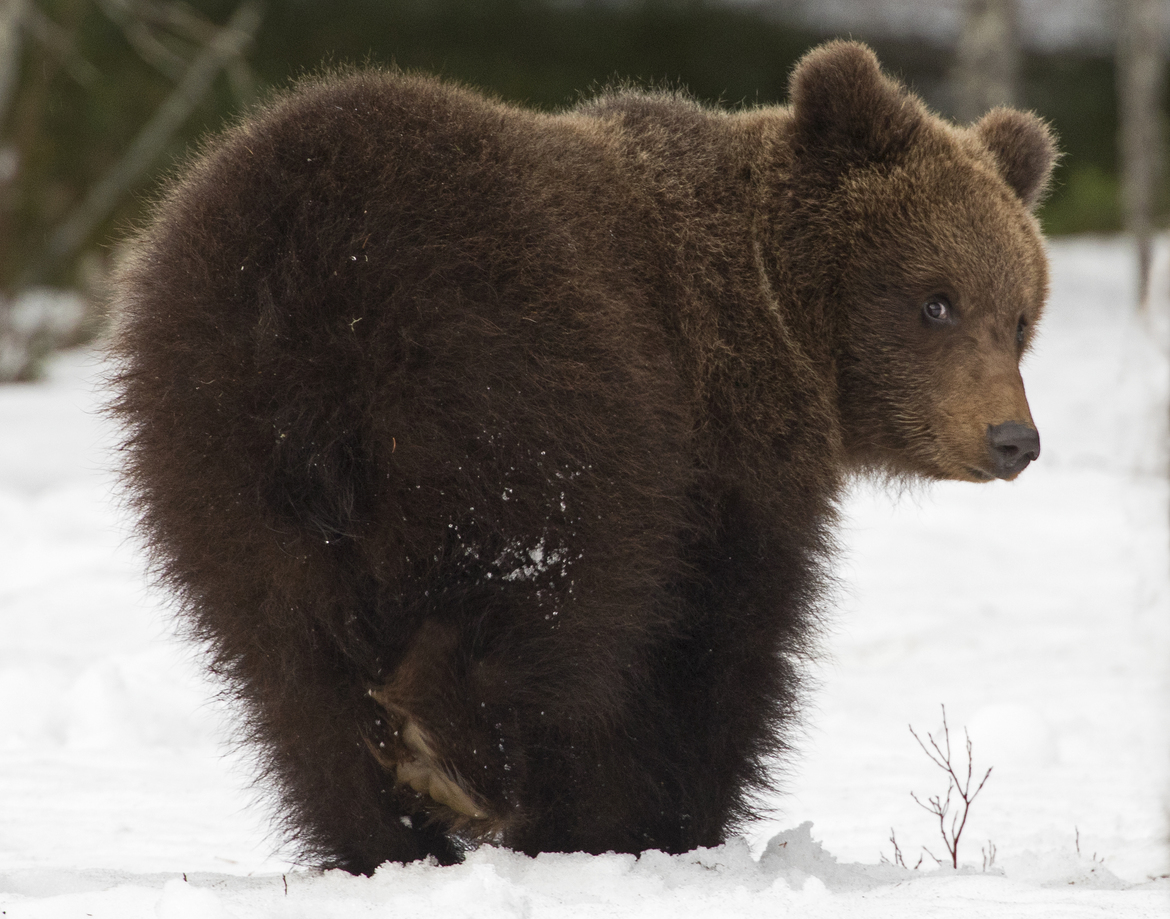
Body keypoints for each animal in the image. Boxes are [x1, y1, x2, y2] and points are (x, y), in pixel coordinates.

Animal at [108, 41, 1056, 874]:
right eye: (936, 300)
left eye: (1019, 315)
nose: (1013, 438)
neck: (782, 319)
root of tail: (293, 274)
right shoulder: (722, 452)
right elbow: (715, 643)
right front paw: (659, 824)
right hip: (517, 386)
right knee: (554, 587)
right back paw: (458, 766)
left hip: (211, 445)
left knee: (287, 664)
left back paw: (386, 832)